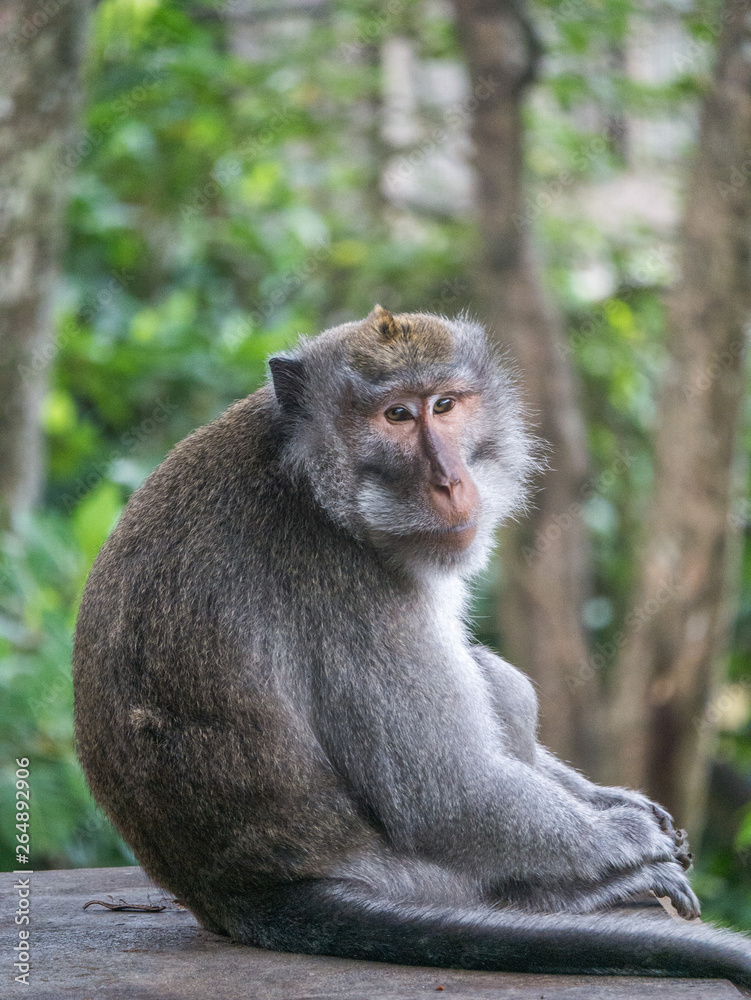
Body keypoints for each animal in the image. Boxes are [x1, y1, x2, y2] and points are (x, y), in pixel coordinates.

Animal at [73, 305, 751, 985]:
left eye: (444, 405)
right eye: (396, 415)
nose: (450, 481)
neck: (316, 483)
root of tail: (241, 896)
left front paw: (612, 799)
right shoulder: (349, 586)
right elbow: (447, 794)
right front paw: (627, 835)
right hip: (427, 881)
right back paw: (577, 892)